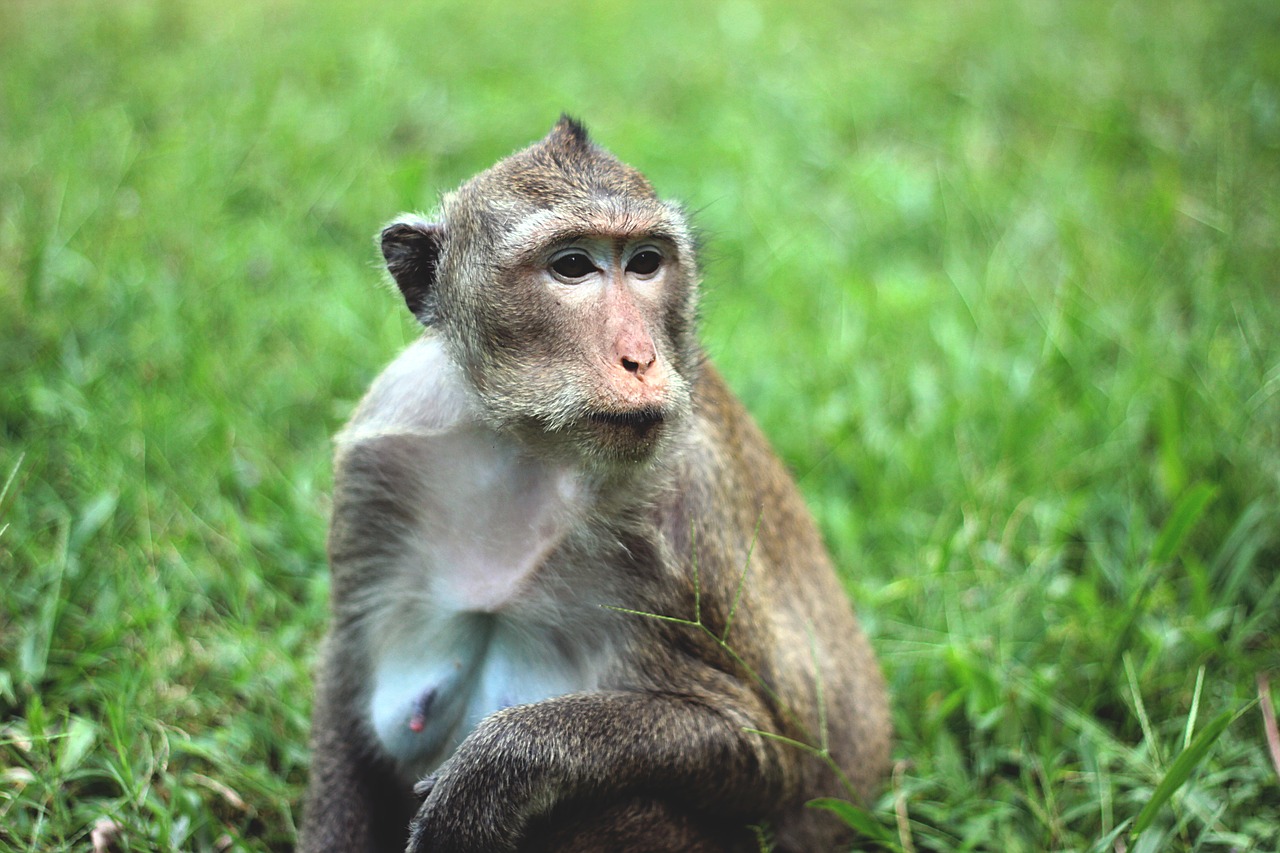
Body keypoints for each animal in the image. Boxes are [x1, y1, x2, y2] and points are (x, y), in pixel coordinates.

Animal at [299, 114, 890, 850]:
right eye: (573, 266)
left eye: (645, 262)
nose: (640, 357)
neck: (535, 446)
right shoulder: (380, 463)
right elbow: (349, 699)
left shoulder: (680, 532)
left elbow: (768, 755)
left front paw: (498, 766)